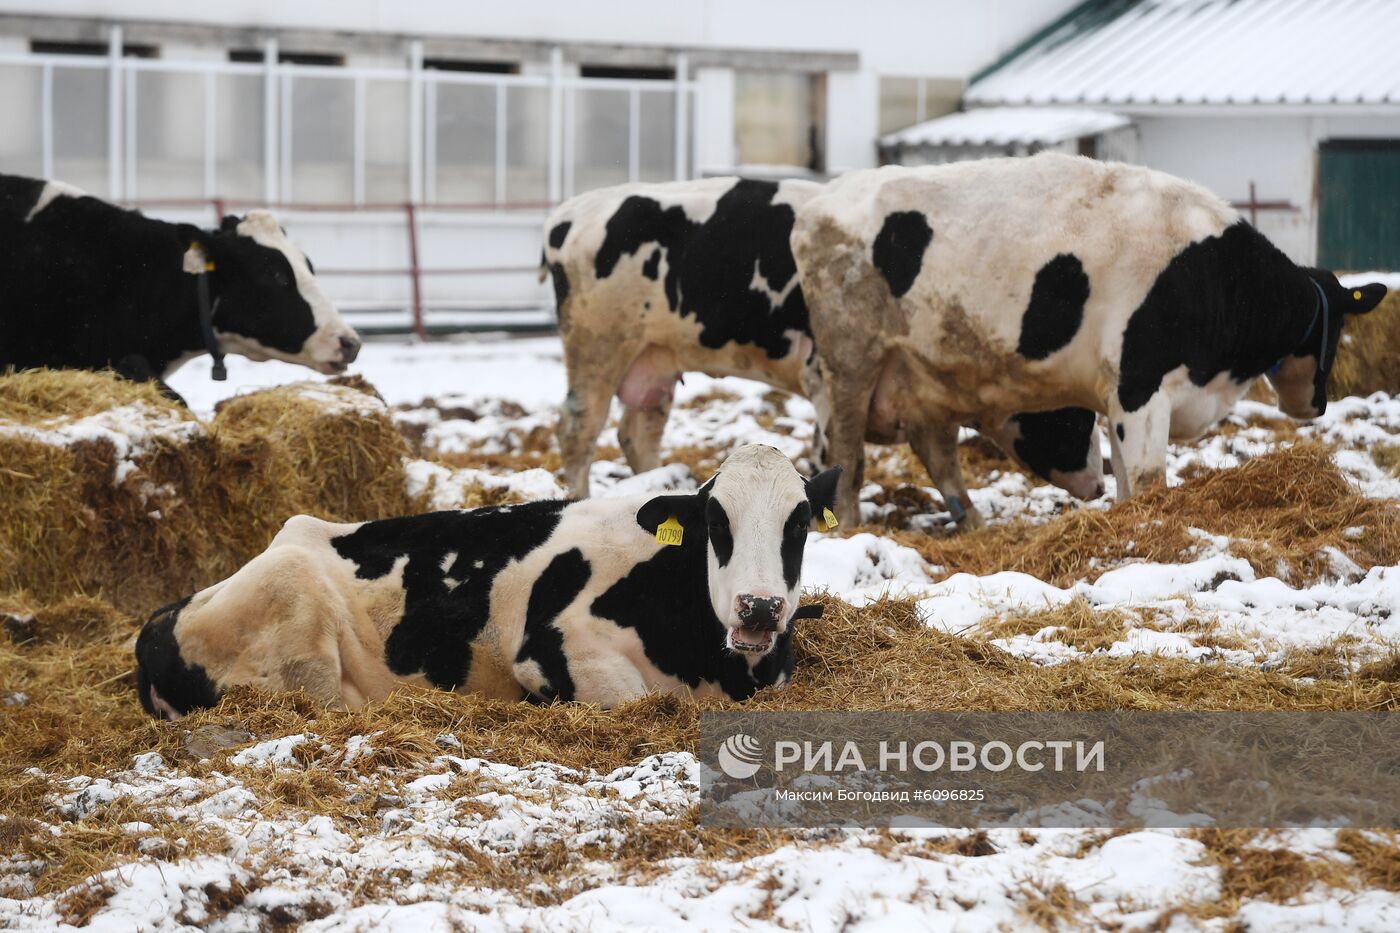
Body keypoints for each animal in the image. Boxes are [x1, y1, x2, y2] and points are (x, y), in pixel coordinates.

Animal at [136, 442, 840, 711]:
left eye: (800, 524)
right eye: (716, 522)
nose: (758, 607)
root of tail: (158, 621)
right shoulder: (550, 652)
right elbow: (633, 697)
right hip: (295, 622)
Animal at [540, 174, 1097, 523]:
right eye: (1076, 417)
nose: (1097, 483)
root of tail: (571, 212)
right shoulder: (825, 374)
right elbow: (843, 453)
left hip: (653, 359)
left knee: (637, 435)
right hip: (598, 346)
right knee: (578, 430)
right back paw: (577, 497)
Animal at [789, 156, 1388, 526]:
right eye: (1338, 325)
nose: (1316, 404)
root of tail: (818, 203)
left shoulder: (1117, 396)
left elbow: (1124, 478)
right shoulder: (1141, 385)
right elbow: (1147, 478)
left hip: (926, 377)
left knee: (936, 453)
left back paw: (975, 522)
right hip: (852, 362)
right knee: (847, 455)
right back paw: (851, 524)